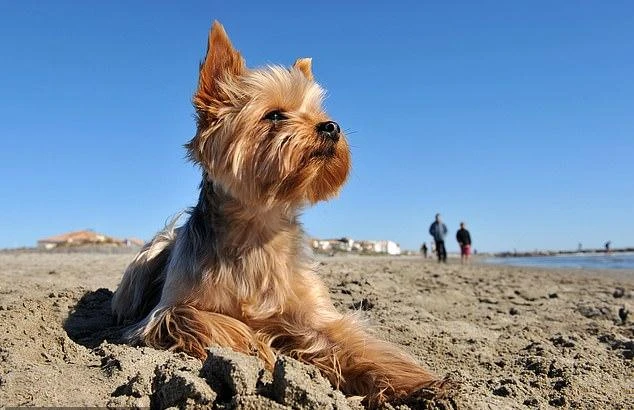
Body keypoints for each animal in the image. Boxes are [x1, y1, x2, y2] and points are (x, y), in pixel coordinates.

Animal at [111, 20, 446, 406]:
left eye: (319, 115)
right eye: (274, 115)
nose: (331, 126)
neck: (259, 227)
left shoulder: (315, 314)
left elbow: (355, 343)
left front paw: (419, 384)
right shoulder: (170, 311)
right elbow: (210, 322)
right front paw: (261, 348)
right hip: (151, 253)